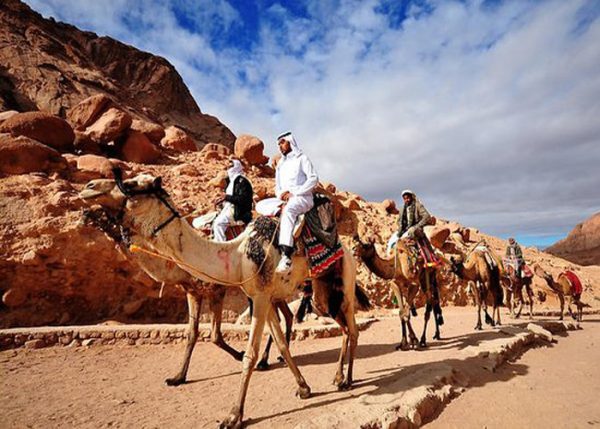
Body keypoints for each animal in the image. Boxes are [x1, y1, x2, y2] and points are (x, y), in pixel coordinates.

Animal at [78, 172, 370, 426]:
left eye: (129, 185)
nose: (88, 188)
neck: (237, 254)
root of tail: (346, 249)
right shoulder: (260, 295)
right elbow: (279, 344)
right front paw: (304, 387)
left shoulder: (255, 296)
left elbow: (248, 354)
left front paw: (233, 416)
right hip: (322, 294)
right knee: (342, 327)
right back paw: (338, 377)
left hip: (344, 281)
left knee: (353, 328)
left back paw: (347, 380)